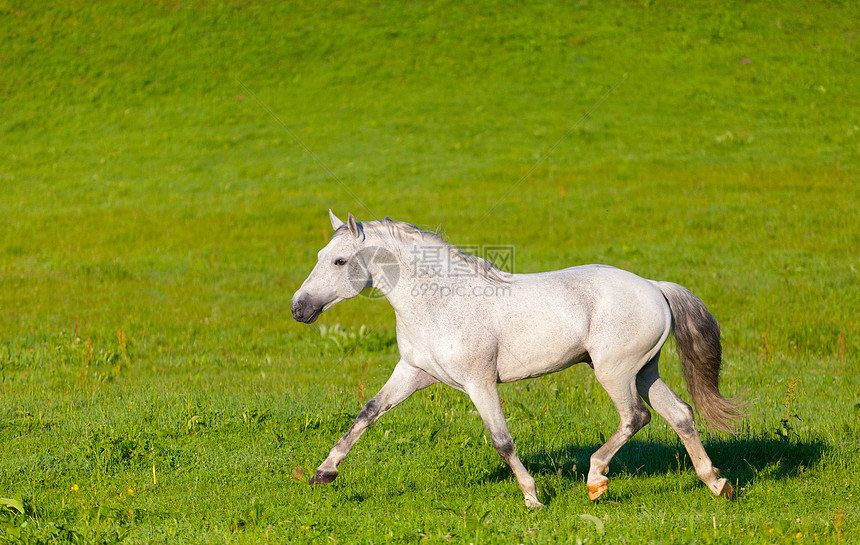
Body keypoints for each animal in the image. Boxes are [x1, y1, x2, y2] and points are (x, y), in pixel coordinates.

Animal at [292, 210, 744, 508]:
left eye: (340, 261)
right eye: (318, 256)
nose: (299, 308)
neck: (440, 301)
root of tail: (653, 285)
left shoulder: (479, 383)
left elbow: (502, 441)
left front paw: (532, 497)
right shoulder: (414, 372)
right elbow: (367, 413)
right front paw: (324, 472)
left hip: (614, 372)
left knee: (635, 417)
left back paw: (596, 480)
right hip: (643, 371)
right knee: (680, 414)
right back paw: (717, 484)